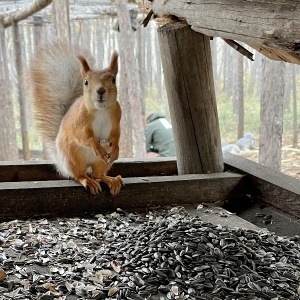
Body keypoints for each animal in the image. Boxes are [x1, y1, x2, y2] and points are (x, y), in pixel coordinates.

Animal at [27, 42, 123, 196]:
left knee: (98, 174)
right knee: (79, 174)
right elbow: (83, 135)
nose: (100, 91)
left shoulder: (116, 117)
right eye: (86, 82)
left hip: (102, 161)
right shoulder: (79, 119)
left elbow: (115, 135)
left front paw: (116, 149)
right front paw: (95, 145)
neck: (101, 110)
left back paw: (111, 180)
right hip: (74, 155)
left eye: (113, 80)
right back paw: (87, 180)